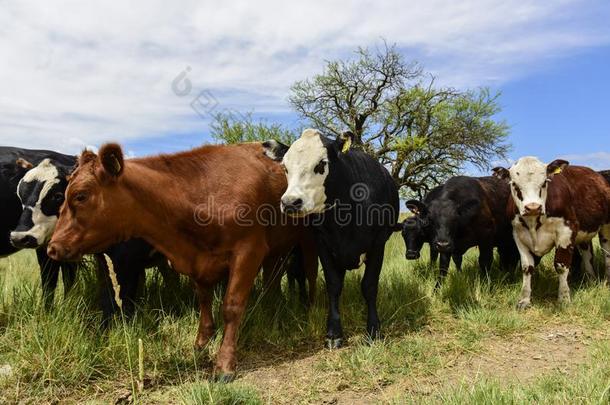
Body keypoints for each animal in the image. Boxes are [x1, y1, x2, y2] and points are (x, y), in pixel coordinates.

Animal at [46, 142, 318, 378]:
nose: (52, 248)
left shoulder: (248, 250)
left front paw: (224, 363)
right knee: (274, 278)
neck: (201, 192)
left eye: (80, 196)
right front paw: (201, 342)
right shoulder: (199, 260)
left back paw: (311, 309)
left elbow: (231, 306)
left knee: (310, 272)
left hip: (306, 241)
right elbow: (203, 299)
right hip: (278, 248)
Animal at [262, 129, 400, 348]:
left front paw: (373, 330)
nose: (290, 202)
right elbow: (333, 285)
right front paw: (334, 332)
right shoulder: (323, 245)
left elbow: (369, 286)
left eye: (321, 164)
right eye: (284, 167)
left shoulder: (378, 244)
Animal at [492, 156, 608, 308]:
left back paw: (607, 279)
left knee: (607, 253)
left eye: (544, 183)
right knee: (587, 255)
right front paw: (524, 299)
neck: (533, 221)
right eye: (515, 185)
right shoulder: (518, 234)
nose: (533, 207)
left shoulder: (566, 230)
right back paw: (591, 280)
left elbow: (561, 266)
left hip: (606, 227)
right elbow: (527, 267)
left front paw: (564, 298)